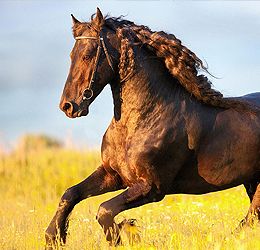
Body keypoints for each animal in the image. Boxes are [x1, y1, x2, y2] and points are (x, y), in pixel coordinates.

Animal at [45, 7, 260, 248]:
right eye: (71, 55)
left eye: (88, 55)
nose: (68, 106)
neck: (143, 120)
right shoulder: (113, 175)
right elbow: (70, 194)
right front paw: (54, 237)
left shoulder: (152, 188)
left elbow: (104, 211)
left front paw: (126, 231)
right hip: (251, 180)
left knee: (252, 215)